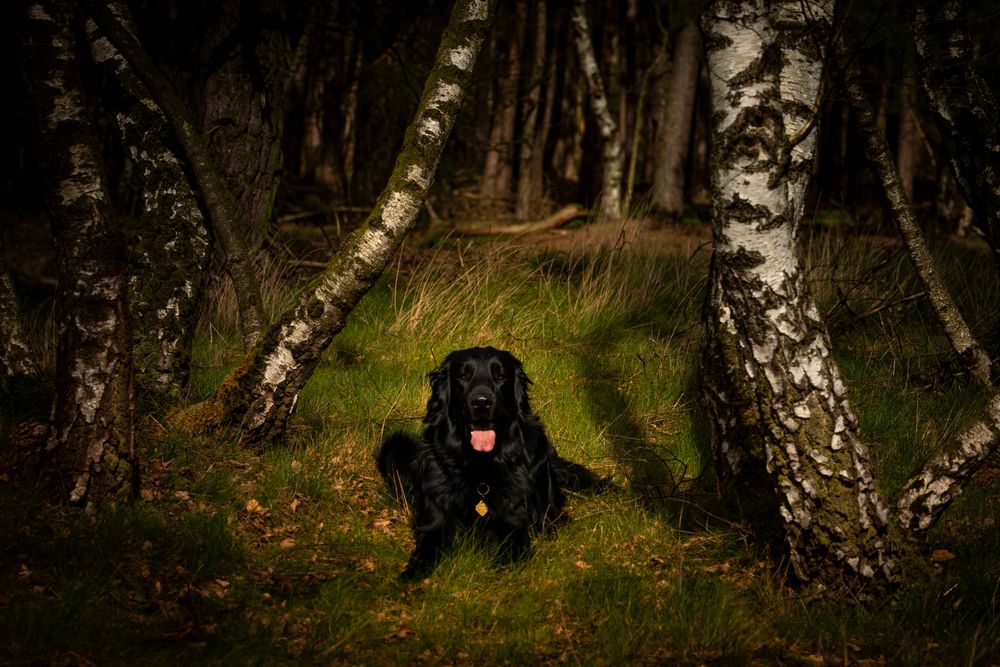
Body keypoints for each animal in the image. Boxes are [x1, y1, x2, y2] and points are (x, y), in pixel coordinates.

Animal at [378, 348, 604, 576]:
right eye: (463, 376)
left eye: (501, 376)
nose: (481, 402)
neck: (481, 467)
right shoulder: (435, 519)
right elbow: (426, 549)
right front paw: (412, 575)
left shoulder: (513, 522)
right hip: (396, 445)